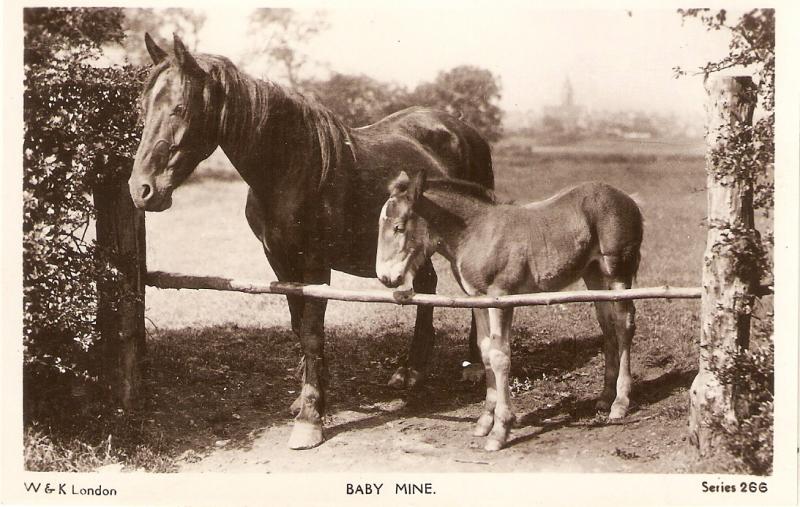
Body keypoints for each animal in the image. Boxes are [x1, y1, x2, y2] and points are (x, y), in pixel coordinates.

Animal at [130, 33, 494, 450]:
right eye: (143, 106)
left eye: (179, 108)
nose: (141, 190)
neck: (290, 168)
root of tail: (462, 128)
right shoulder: (279, 260)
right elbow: (297, 325)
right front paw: (310, 398)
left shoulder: (315, 264)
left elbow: (312, 332)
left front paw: (309, 419)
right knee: (427, 285)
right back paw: (411, 370)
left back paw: (475, 367)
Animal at [376, 173, 644, 450]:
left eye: (399, 227)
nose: (386, 277)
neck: (475, 233)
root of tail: (627, 198)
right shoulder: (478, 300)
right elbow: (485, 354)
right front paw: (485, 421)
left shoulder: (501, 299)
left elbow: (500, 357)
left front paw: (500, 430)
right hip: (593, 275)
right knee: (607, 325)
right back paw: (604, 397)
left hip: (618, 273)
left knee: (624, 325)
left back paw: (620, 402)